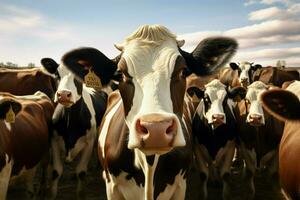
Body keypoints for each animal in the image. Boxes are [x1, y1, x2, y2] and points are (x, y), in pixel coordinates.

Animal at [39, 57, 108, 198]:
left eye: (79, 75)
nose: (64, 94)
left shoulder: (88, 143)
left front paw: (81, 194)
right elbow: (56, 172)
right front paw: (51, 194)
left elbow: (81, 172)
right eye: (57, 74)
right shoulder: (54, 141)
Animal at [60, 24, 239, 199]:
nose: (156, 129)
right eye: (121, 74)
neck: (149, 164)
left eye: (183, 71)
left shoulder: (180, 186)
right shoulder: (112, 187)